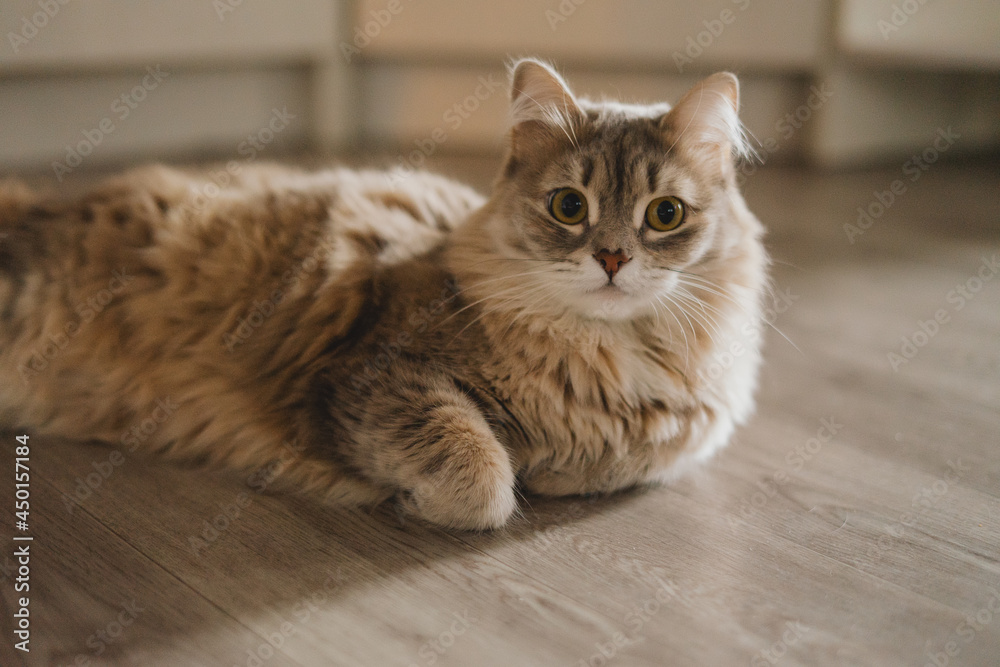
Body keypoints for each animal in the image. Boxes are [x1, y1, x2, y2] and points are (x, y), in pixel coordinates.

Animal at [0, 62, 768, 532]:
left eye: (664, 215)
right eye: (569, 206)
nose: (611, 257)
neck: (605, 360)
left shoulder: (674, 437)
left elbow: (607, 466)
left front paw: (555, 468)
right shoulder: (374, 376)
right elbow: (481, 479)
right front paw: (429, 493)